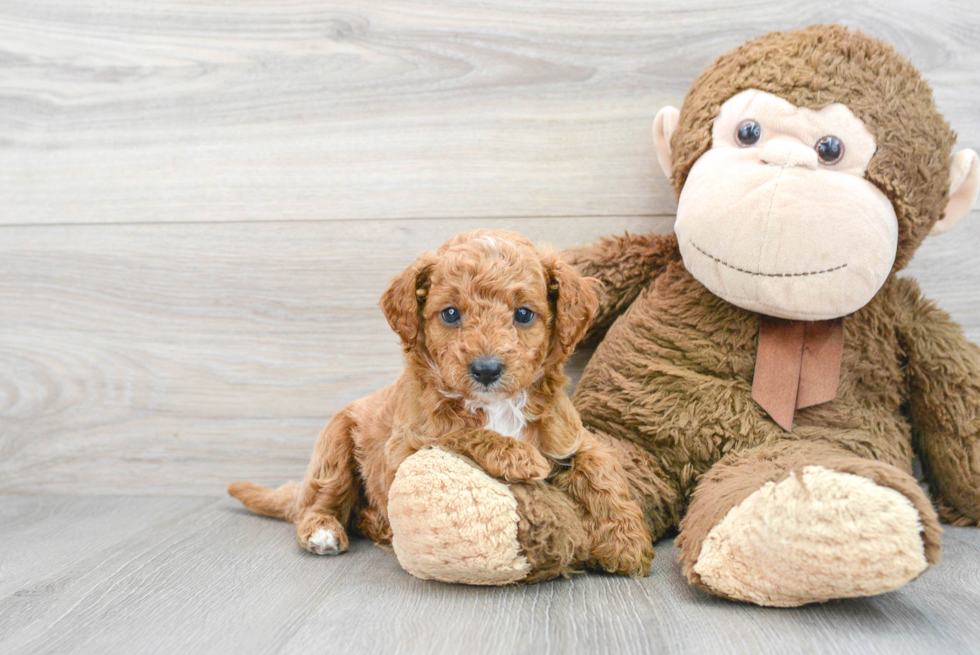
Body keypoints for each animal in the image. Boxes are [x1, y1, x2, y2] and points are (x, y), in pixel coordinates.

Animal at [230, 229, 656, 576]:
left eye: (523, 314)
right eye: (450, 314)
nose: (486, 369)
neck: (498, 406)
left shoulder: (571, 436)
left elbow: (602, 471)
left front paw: (628, 542)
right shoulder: (404, 449)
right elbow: (457, 432)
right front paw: (515, 455)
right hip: (334, 443)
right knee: (320, 500)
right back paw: (325, 531)